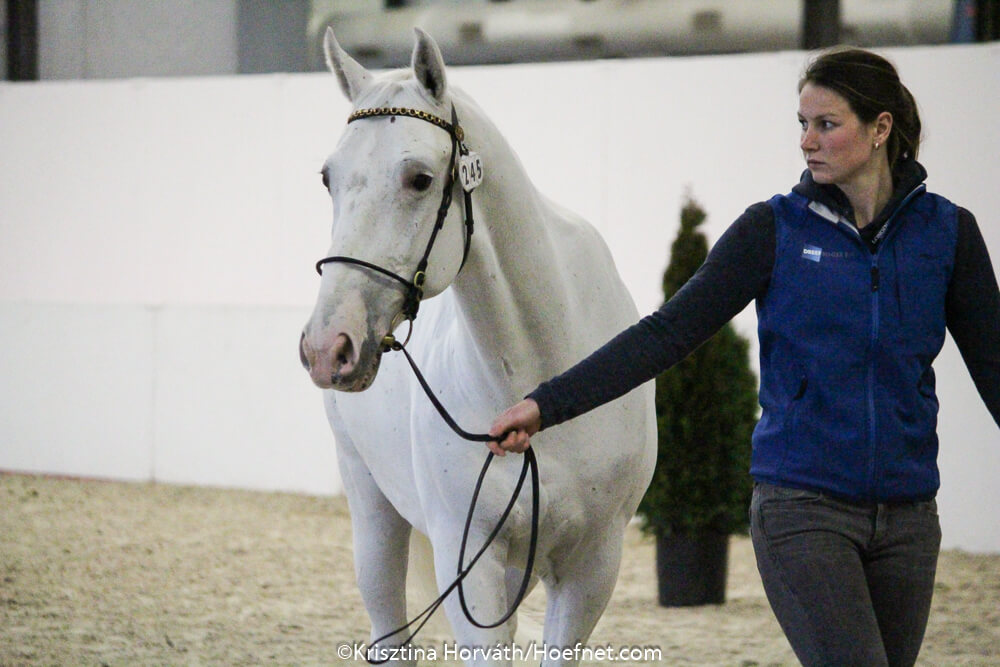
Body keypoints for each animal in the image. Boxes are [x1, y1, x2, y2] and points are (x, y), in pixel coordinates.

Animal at [299, 27, 656, 666]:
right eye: (327, 178)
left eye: (419, 177)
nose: (327, 346)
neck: (543, 382)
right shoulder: (472, 566)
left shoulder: (592, 567)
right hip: (371, 509)